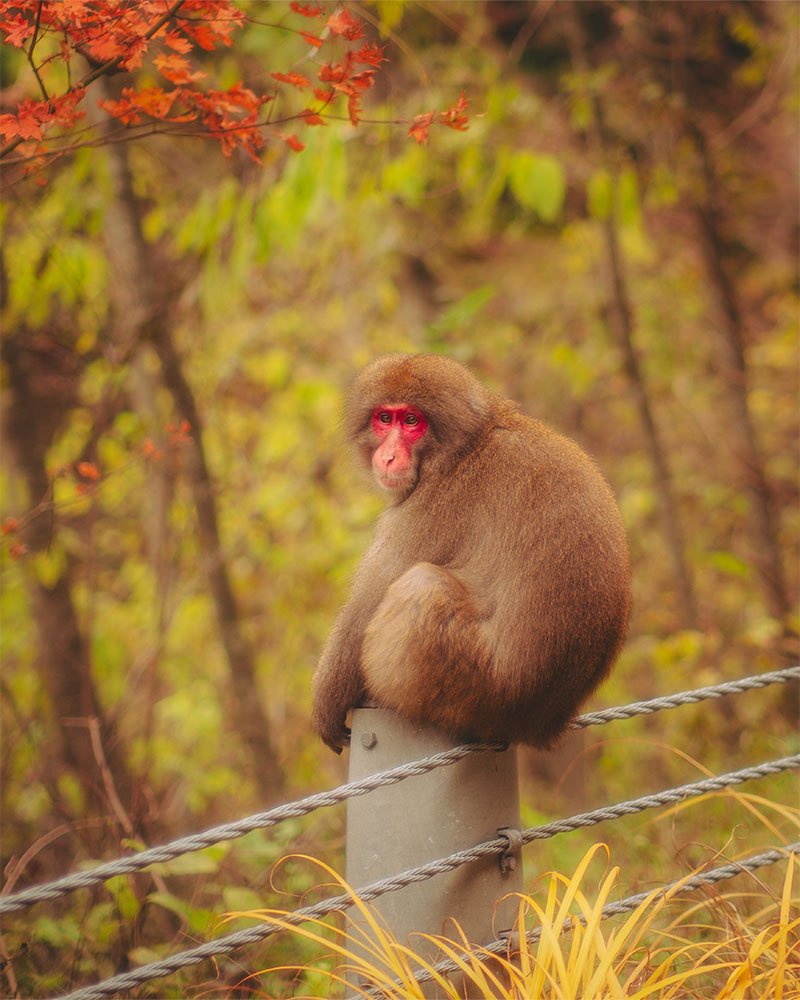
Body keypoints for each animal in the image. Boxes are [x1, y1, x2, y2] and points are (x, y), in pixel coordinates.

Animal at [312, 356, 632, 752]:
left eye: (412, 421)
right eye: (385, 418)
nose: (387, 457)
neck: (468, 446)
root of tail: (535, 723)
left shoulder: (434, 504)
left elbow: (366, 606)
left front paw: (327, 700)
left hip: (468, 682)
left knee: (422, 586)